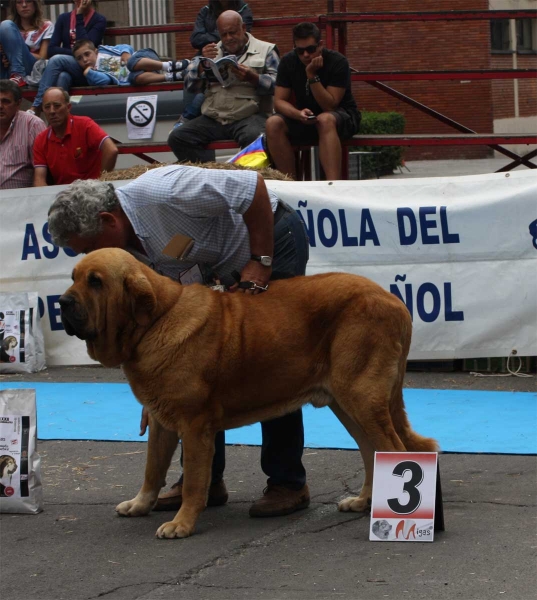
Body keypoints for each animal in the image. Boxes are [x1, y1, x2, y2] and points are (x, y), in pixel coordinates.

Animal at [59, 248, 436, 540]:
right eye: (74, 277)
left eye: (96, 281)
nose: (62, 302)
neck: (154, 321)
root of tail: (394, 301)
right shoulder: (161, 423)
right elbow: (152, 469)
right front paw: (140, 505)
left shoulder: (194, 427)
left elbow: (194, 481)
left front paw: (181, 524)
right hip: (348, 404)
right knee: (371, 452)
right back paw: (363, 502)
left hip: (361, 398)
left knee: (394, 451)